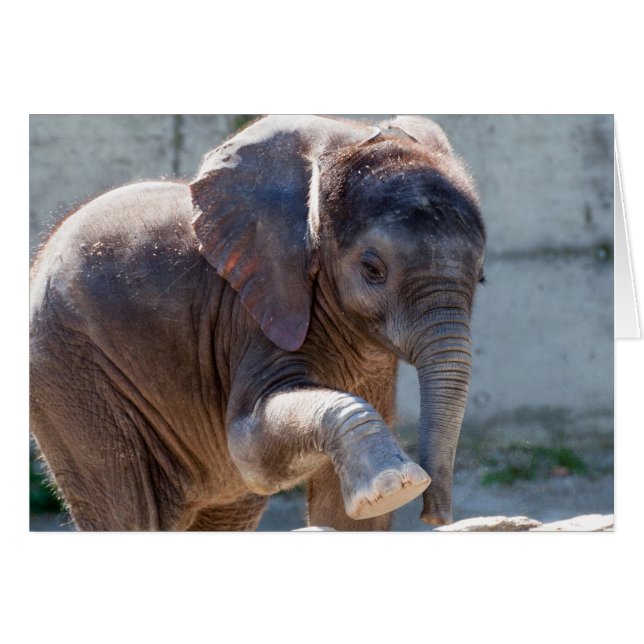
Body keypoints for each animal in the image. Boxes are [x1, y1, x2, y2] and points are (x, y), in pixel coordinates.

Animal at [29, 114, 486, 531]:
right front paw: (396, 485)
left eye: (481, 276)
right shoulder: (253, 315)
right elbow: (250, 449)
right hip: (71, 376)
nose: (433, 516)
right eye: (373, 269)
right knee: (127, 508)